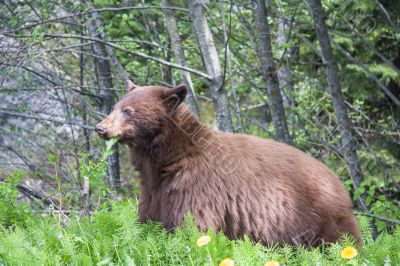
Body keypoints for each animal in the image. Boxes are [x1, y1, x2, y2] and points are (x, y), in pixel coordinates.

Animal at [95, 81, 360, 247]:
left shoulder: (195, 188)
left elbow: (191, 227)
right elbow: (149, 219)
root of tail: (338, 181)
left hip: (319, 215)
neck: (169, 159)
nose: (100, 127)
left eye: (128, 111)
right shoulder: (155, 189)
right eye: (114, 106)